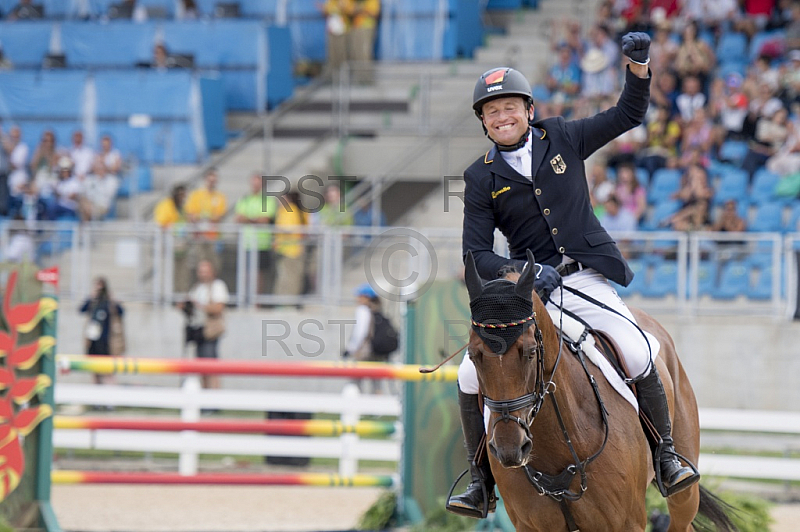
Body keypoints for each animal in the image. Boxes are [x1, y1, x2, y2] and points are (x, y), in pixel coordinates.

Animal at [460, 250, 736, 532]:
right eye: (473, 355)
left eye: (530, 352)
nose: (509, 449)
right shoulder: (530, 526)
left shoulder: (628, 522)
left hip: (685, 490)